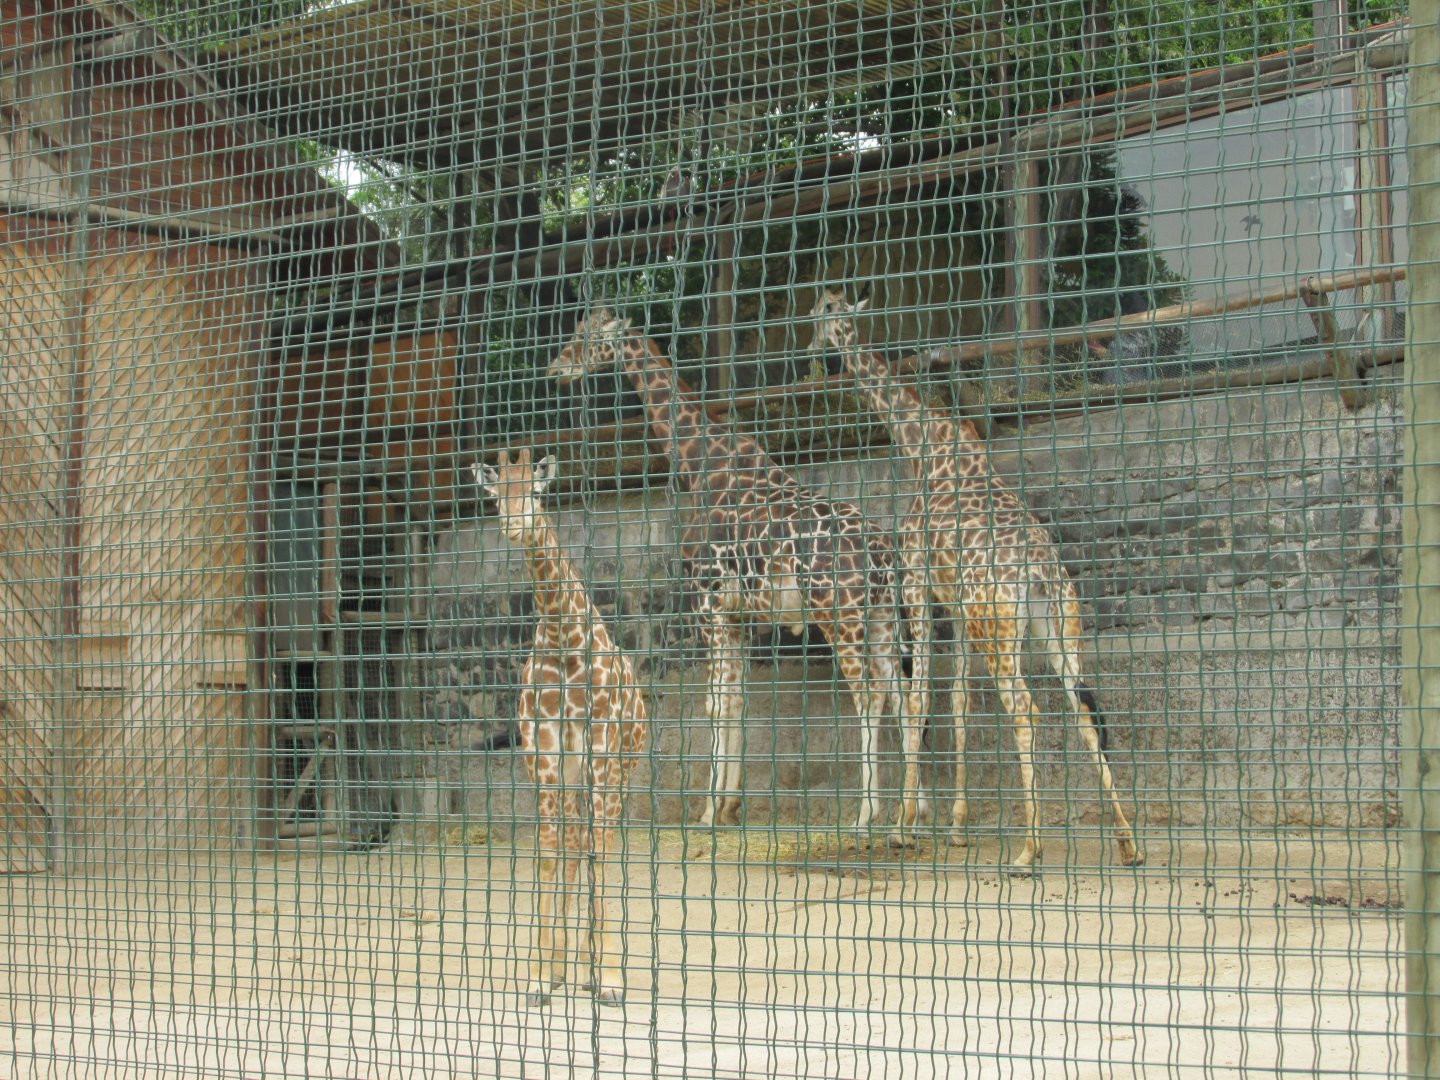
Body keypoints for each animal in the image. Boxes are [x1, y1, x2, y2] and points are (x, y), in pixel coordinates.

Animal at [473, 448, 648, 1007]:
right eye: (496, 496)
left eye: (534, 491)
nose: (514, 526)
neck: (562, 632)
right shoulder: (546, 753)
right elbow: (548, 855)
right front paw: (539, 977)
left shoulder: (600, 751)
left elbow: (598, 856)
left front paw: (608, 979)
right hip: (573, 777)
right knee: (572, 846)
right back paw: (566, 965)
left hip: (620, 773)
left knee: (597, 844)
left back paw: (591, 969)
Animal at [548, 310, 917, 833]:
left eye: (587, 337)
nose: (556, 368)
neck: (702, 463)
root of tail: (886, 554)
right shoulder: (738, 615)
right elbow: (737, 700)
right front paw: (729, 804)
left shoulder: (706, 601)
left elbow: (714, 703)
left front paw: (707, 810)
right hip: (882, 617)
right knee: (903, 692)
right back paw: (911, 812)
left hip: (838, 616)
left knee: (869, 695)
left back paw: (866, 814)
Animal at [809, 288, 1143, 868]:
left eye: (821, 313)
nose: (812, 354)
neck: (925, 447)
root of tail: (1038, 569)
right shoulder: (957, 608)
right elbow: (960, 706)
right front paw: (956, 827)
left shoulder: (917, 585)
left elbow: (919, 700)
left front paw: (903, 827)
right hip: (1056, 628)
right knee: (1082, 709)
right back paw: (1127, 843)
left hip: (1000, 631)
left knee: (1026, 710)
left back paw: (1029, 849)